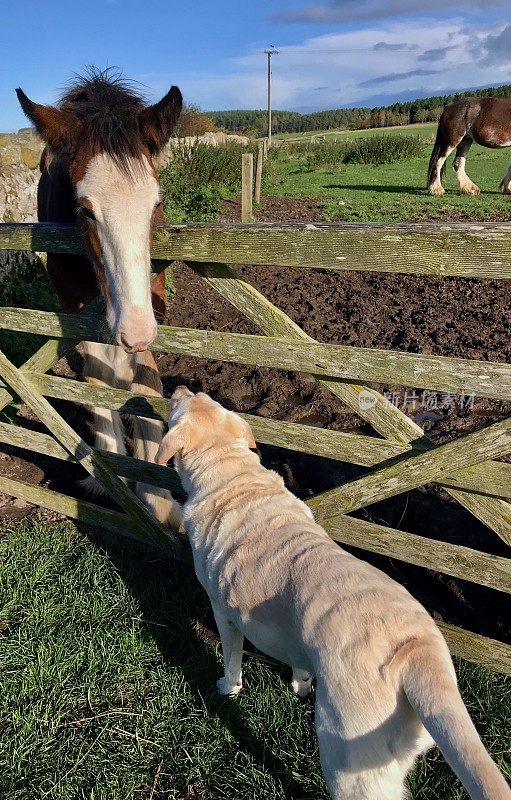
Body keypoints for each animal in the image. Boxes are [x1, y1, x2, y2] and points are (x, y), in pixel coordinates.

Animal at [16, 70, 184, 532]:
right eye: (86, 210)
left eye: (156, 205)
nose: (135, 330)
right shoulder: (75, 307)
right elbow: (95, 373)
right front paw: (111, 472)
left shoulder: (150, 300)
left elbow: (145, 376)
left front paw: (158, 494)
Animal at [157, 388, 511, 800]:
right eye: (201, 396)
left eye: (182, 404)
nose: (179, 389)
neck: (234, 477)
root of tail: (416, 654)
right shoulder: (292, 634)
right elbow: (298, 661)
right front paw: (300, 685)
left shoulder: (223, 611)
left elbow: (231, 662)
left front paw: (226, 689)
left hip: (347, 760)